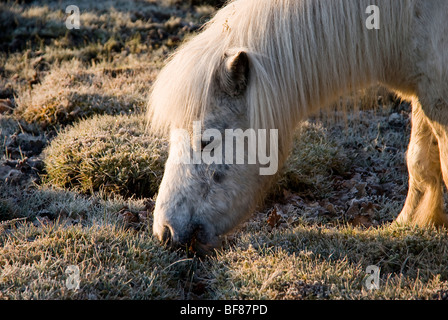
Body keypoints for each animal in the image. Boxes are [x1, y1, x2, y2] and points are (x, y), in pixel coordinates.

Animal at [149, 0, 448, 254]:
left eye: (206, 141)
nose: (165, 231)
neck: (403, 17)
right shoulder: (424, 93)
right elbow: (419, 160)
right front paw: (409, 225)